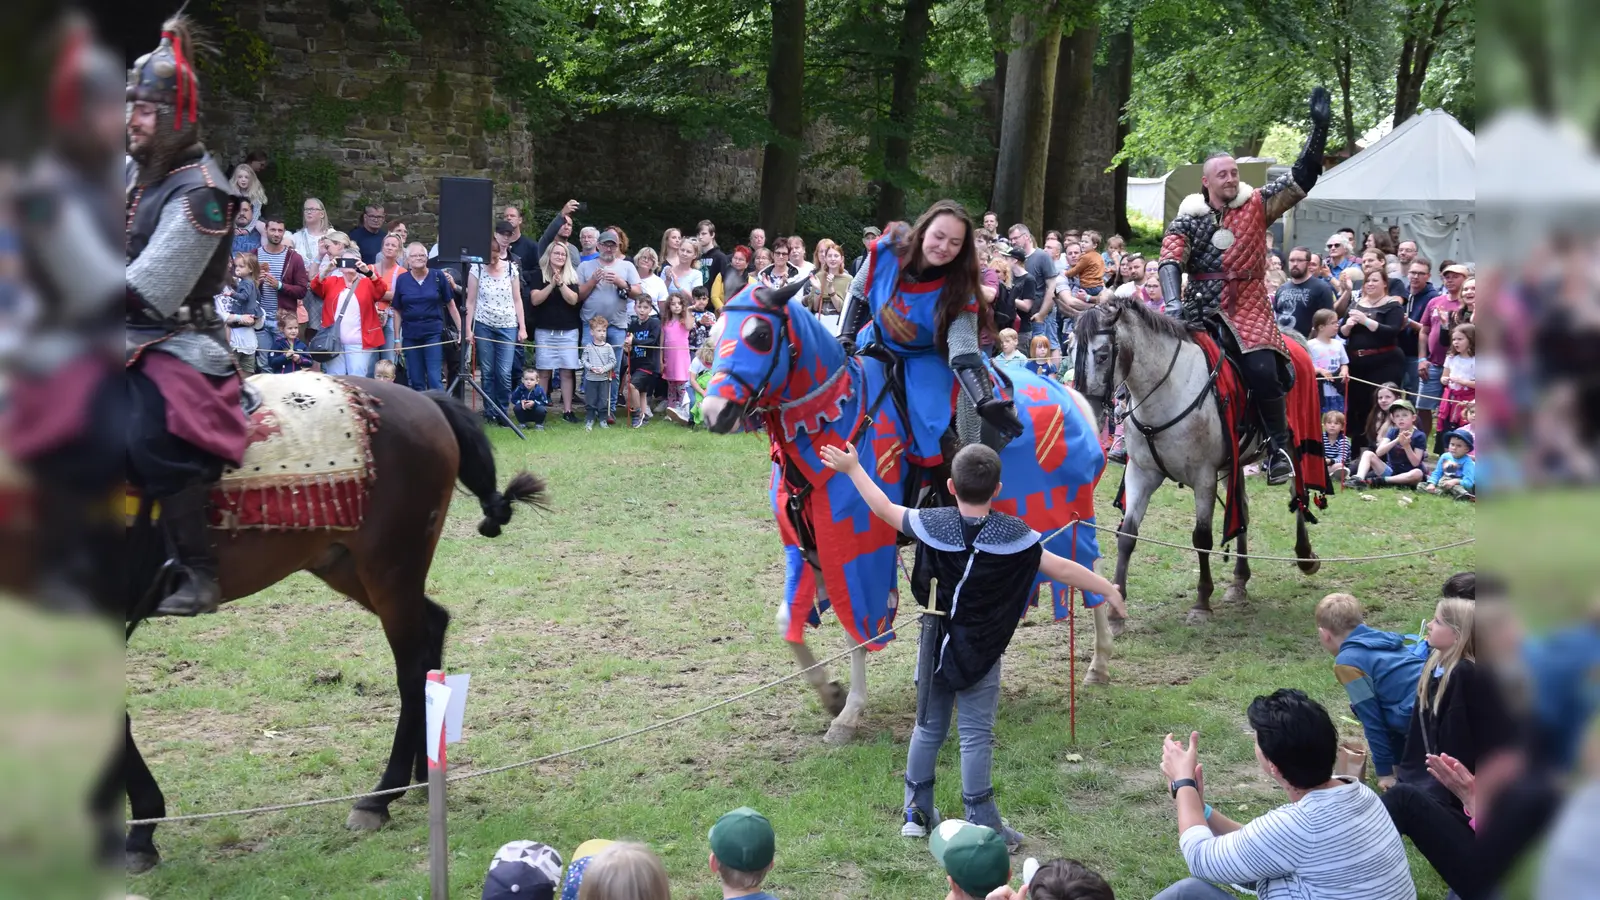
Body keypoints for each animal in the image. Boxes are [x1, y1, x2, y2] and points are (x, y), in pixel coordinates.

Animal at [109, 376, 544, 871]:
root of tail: (421, 399)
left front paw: (142, 829)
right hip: (344, 565)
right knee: (433, 627)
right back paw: (420, 773)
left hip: (389, 568)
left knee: (412, 668)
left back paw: (382, 795)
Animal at [1068, 294, 1318, 624]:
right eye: (1072, 352)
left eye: (1102, 355)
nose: (1087, 409)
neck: (1167, 390)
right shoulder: (1141, 473)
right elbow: (1127, 534)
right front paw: (1116, 610)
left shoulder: (1203, 477)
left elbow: (1202, 538)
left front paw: (1201, 603)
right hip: (1235, 463)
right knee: (1242, 511)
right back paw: (1239, 579)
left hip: (1294, 444)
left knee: (1297, 494)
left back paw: (1305, 555)